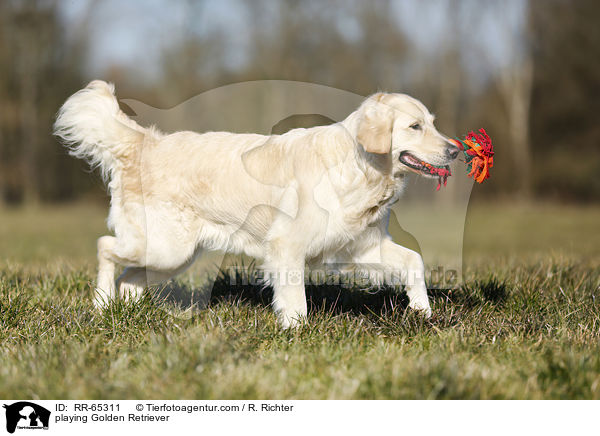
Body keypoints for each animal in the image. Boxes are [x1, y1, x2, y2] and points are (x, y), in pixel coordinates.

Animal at [56, 81, 460, 328]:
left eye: (433, 123)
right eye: (414, 126)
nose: (456, 150)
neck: (359, 166)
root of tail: (146, 142)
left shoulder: (362, 245)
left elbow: (414, 261)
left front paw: (423, 311)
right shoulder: (287, 245)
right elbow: (295, 296)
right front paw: (297, 331)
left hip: (172, 256)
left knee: (129, 277)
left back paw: (124, 312)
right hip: (165, 247)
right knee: (105, 247)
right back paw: (101, 305)